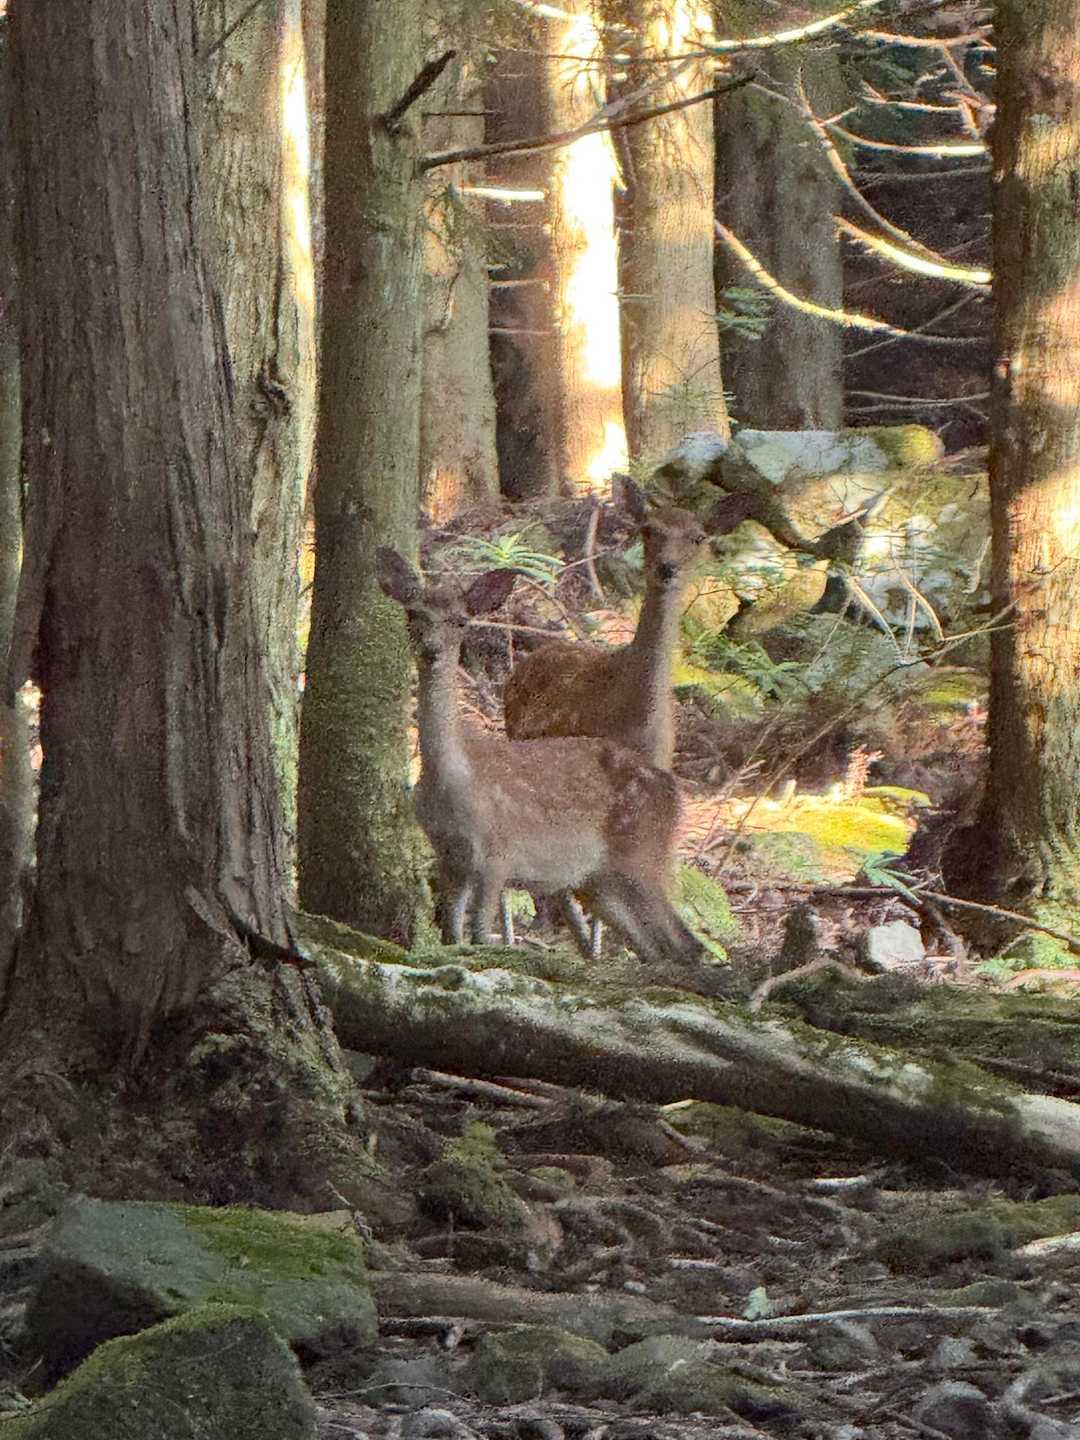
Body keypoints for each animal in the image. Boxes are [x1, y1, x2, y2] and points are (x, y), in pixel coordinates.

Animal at [376, 546, 703, 970]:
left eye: (461, 620)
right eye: (413, 614)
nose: (431, 651)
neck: (453, 781)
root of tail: (675, 793)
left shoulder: (498, 852)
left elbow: (480, 935)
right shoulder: (450, 860)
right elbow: (452, 936)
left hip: (643, 855)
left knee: (685, 942)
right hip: (600, 881)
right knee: (655, 945)